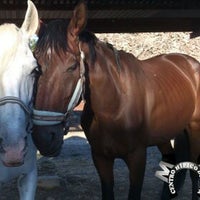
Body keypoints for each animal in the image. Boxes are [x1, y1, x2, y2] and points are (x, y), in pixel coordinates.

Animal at [32, 2, 200, 199]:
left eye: (72, 66)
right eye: (36, 65)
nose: (43, 138)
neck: (115, 106)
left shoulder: (137, 157)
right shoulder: (101, 157)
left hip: (194, 130)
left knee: (194, 169)